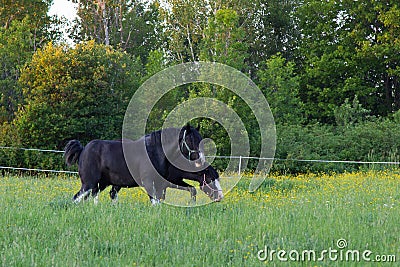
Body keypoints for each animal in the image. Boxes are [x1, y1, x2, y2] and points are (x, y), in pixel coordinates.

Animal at [64, 125, 223, 205]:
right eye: (191, 139)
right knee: (76, 199)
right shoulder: (151, 184)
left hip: (100, 185)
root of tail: (83, 150)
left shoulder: (161, 185)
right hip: (89, 184)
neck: (156, 152)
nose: (201, 160)